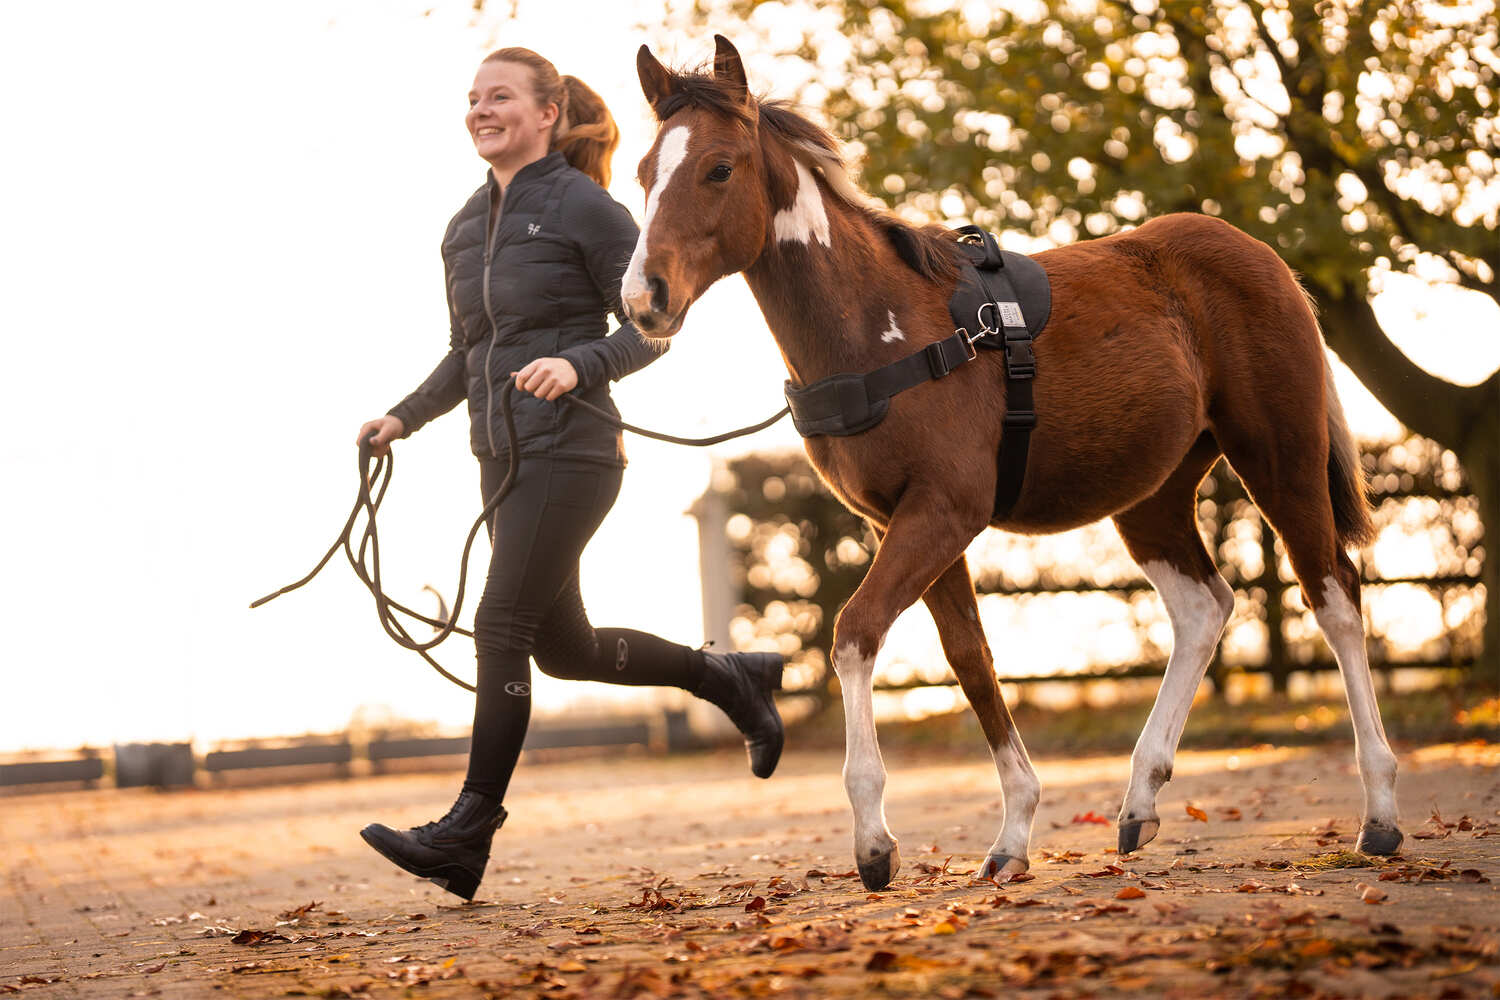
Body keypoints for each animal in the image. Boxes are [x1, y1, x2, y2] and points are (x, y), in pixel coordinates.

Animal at [618, 35, 1392, 893]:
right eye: (644, 171)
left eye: (719, 168)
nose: (644, 298)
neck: (886, 331)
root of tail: (1267, 260)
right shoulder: (908, 522)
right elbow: (971, 659)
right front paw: (1014, 832)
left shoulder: (943, 512)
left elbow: (855, 632)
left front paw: (875, 844)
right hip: (1151, 496)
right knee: (1204, 607)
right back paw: (1140, 802)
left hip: (1278, 456)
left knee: (1334, 596)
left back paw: (1380, 813)